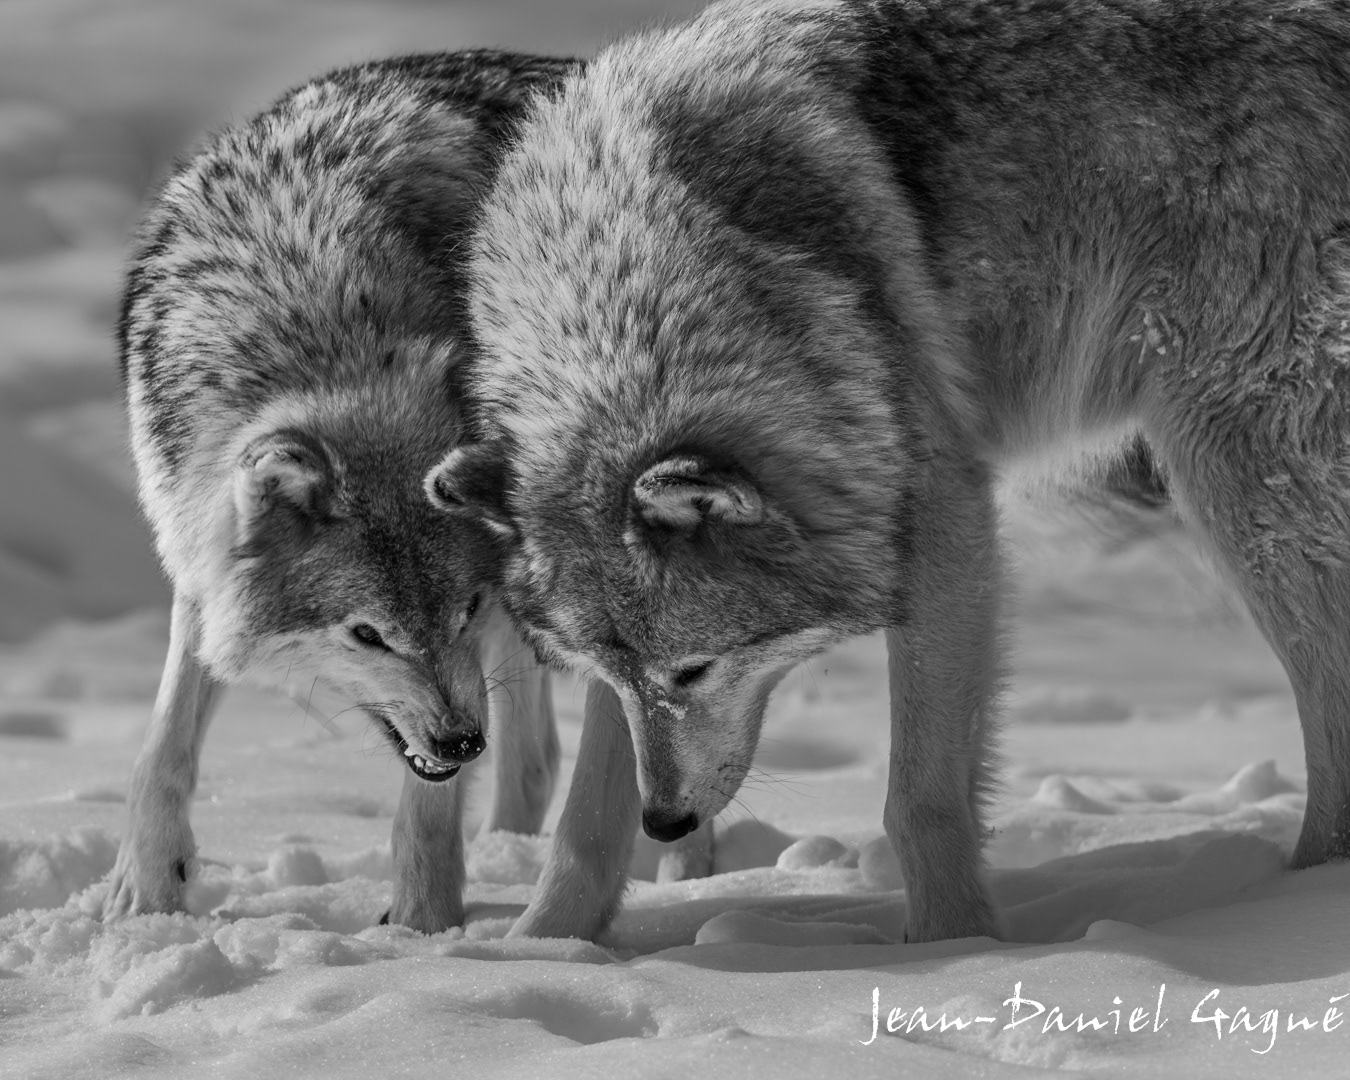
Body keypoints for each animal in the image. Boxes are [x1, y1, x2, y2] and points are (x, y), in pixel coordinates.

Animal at [106, 51, 580, 932]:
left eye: (464, 608)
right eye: (368, 635)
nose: (461, 740)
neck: (318, 324)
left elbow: (426, 809)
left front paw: (426, 928)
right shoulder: (200, 558)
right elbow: (163, 746)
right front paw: (145, 895)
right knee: (536, 761)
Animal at [429, 0, 1350, 943]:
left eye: (695, 671)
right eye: (620, 676)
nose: (669, 823)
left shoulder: (949, 528)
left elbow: (920, 799)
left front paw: (954, 947)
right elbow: (585, 820)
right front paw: (538, 949)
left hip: (1231, 477)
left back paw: (1303, 897)